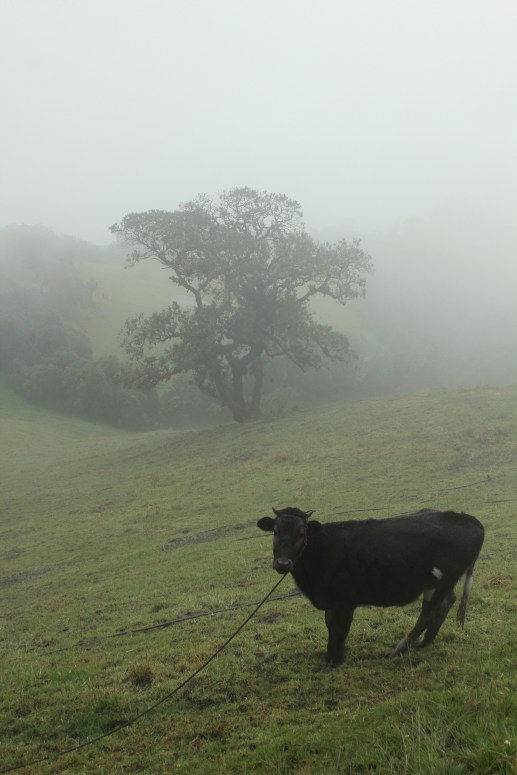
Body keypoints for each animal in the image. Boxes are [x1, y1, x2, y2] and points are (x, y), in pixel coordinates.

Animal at [257, 507, 484, 665]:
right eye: (275, 531)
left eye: (301, 533)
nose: (283, 563)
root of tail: (468, 518)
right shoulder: (332, 601)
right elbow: (330, 625)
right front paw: (329, 656)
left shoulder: (344, 601)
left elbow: (341, 628)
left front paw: (337, 659)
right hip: (443, 582)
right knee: (446, 604)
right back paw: (425, 641)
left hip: (439, 582)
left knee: (429, 613)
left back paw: (399, 649)